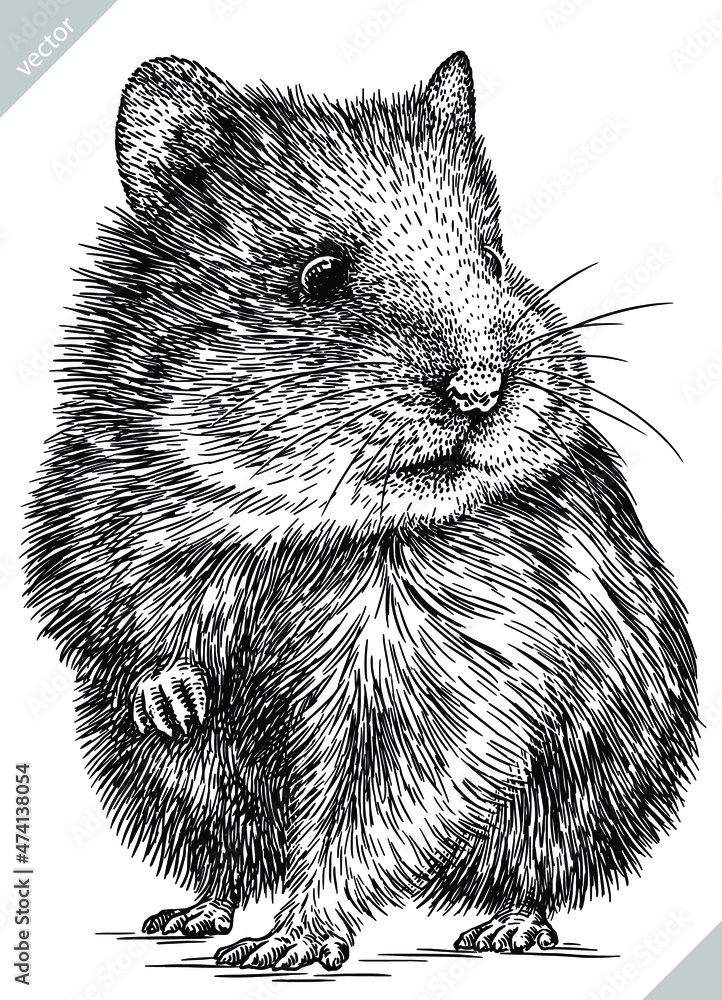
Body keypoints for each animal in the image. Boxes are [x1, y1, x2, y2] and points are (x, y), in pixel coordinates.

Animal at [25, 51, 697, 971]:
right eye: (321, 276)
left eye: (493, 254)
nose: (481, 392)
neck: (297, 525)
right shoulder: (97, 511)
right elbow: (118, 617)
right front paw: (178, 703)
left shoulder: (438, 665)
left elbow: (368, 804)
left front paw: (286, 947)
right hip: (164, 791)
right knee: (228, 860)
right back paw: (186, 918)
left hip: (584, 792)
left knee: (535, 872)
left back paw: (499, 931)